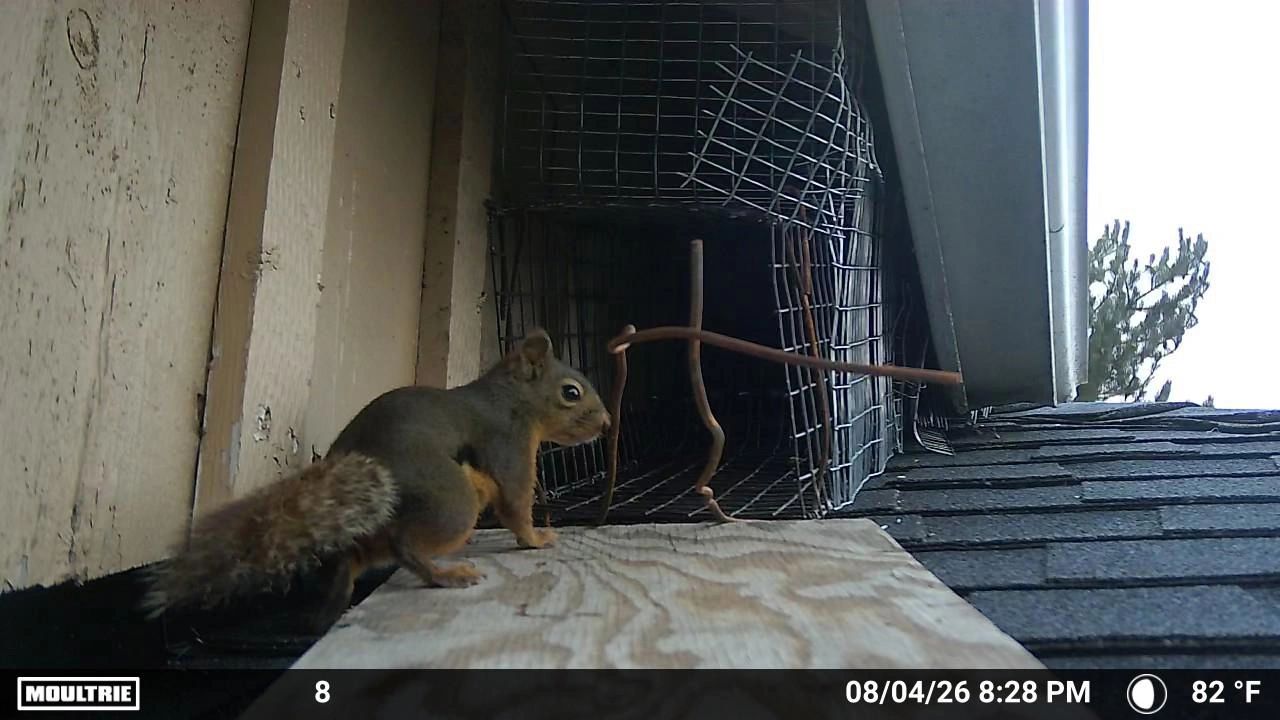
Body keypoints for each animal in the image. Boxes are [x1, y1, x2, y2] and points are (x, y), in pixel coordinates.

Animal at [140, 328, 609, 630]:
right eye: (571, 392)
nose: (606, 424)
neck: (512, 399)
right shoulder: (506, 442)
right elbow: (515, 504)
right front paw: (537, 538)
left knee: (362, 558)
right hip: (451, 500)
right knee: (405, 545)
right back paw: (446, 575)